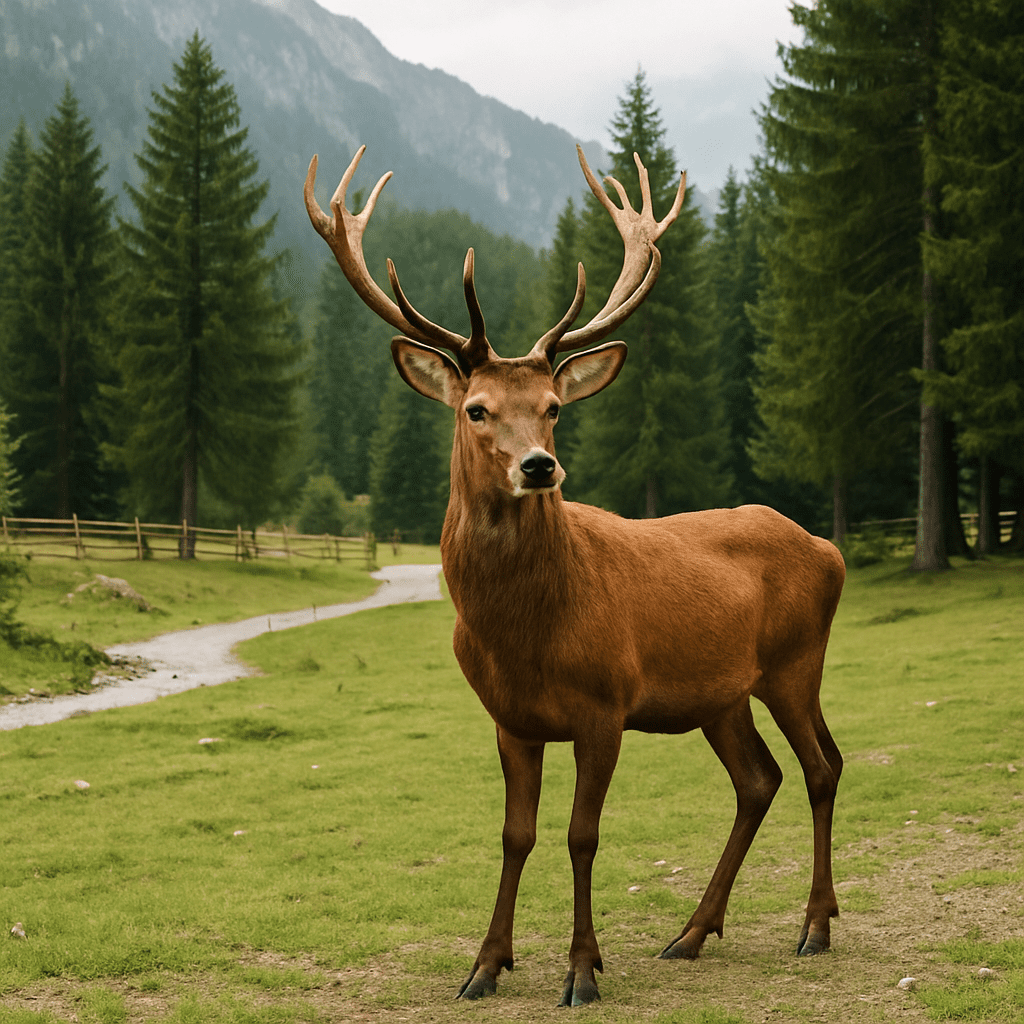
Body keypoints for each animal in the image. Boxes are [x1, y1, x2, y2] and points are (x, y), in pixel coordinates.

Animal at [304, 143, 846, 1007]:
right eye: (477, 409)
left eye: (555, 405)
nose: (539, 466)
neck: (523, 634)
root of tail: (829, 550)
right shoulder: (510, 718)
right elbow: (515, 834)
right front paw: (485, 965)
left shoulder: (604, 705)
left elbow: (581, 835)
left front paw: (583, 969)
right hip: (720, 693)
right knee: (759, 779)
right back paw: (691, 933)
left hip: (797, 662)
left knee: (822, 767)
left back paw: (816, 926)